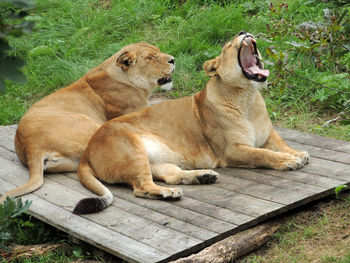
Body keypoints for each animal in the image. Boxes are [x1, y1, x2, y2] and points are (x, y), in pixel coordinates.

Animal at [73, 32, 308, 216]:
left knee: (170, 175)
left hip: (157, 160)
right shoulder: (231, 151)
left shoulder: (267, 134)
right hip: (132, 150)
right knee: (141, 187)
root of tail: (88, 149)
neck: (248, 98)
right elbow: (263, 154)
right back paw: (169, 192)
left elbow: (280, 144)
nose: (243, 32)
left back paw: (201, 177)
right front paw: (289, 161)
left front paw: (297, 153)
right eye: (229, 45)